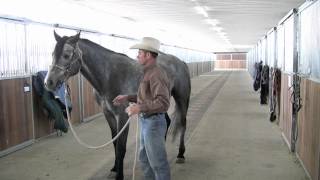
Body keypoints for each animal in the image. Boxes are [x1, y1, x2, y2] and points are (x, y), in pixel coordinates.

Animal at [44, 31, 190, 179]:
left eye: (66, 55)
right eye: (53, 54)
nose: (48, 82)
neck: (108, 75)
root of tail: (181, 62)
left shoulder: (122, 116)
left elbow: (121, 147)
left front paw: (120, 175)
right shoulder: (108, 114)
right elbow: (114, 142)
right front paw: (114, 168)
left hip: (181, 98)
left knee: (183, 124)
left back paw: (180, 154)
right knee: (167, 121)